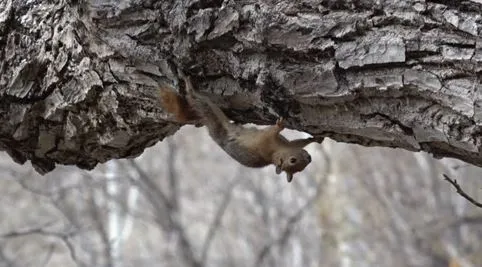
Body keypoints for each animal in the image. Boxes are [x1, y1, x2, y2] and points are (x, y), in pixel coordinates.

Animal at [160, 73, 322, 183]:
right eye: (293, 161)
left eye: (301, 167)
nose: (309, 158)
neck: (275, 152)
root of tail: (219, 137)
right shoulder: (267, 139)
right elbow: (275, 132)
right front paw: (280, 125)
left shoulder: (286, 143)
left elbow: (300, 142)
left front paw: (316, 139)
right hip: (213, 115)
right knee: (200, 102)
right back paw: (190, 87)